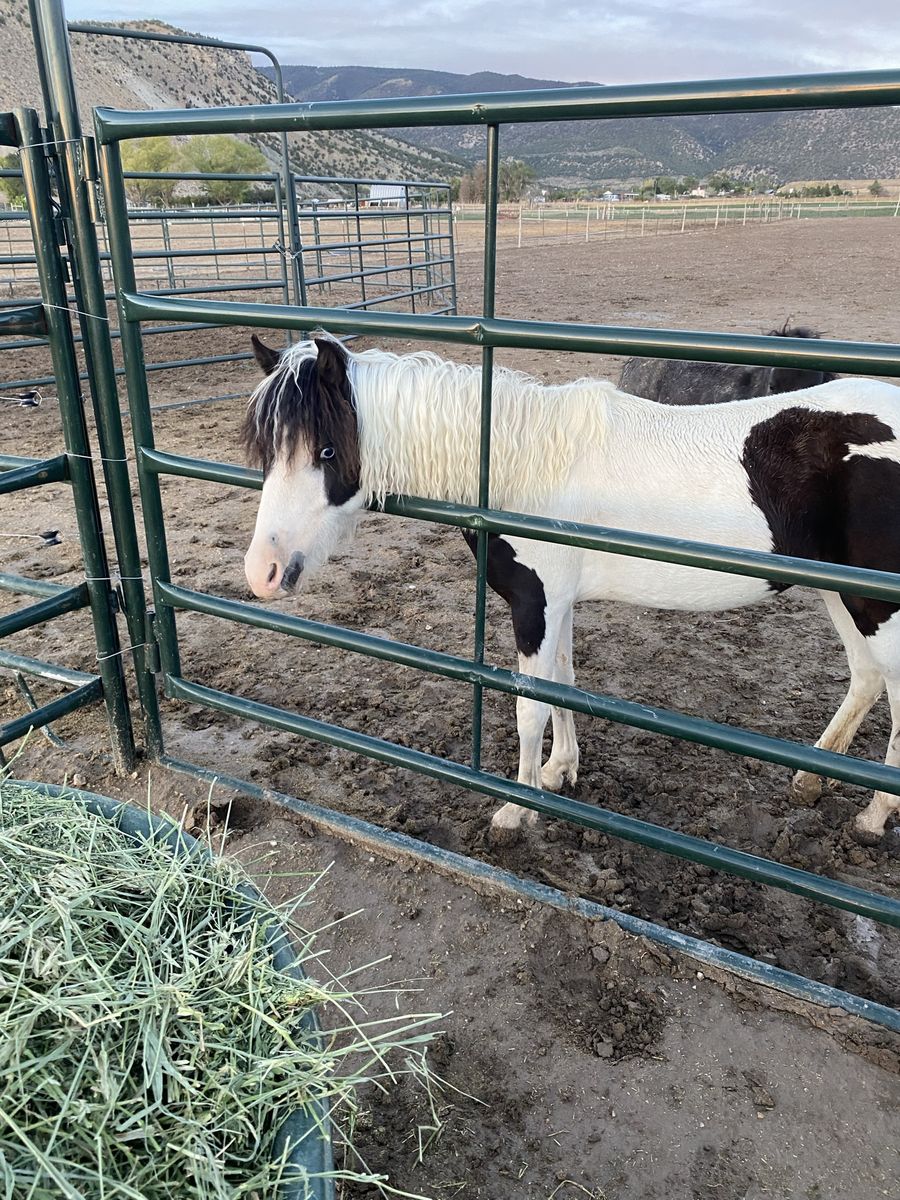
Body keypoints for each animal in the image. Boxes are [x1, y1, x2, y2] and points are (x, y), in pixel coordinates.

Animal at [241, 333, 900, 846]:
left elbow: (529, 706)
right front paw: (560, 772)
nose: (262, 572)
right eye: (268, 450)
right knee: (866, 676)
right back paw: (810, 778)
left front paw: (515, 810)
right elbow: (563, 682)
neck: (515, 465)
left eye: (327, 450)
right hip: (842, 595)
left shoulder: (535, 604)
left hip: (877, 605)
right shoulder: (556, 605)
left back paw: (874, 814)